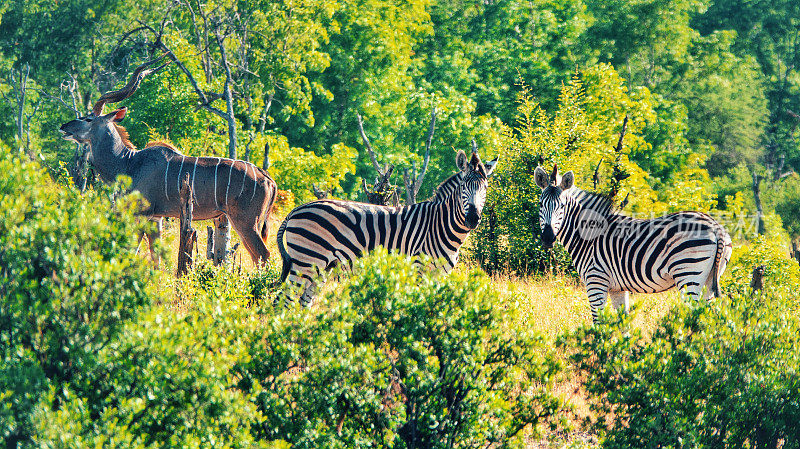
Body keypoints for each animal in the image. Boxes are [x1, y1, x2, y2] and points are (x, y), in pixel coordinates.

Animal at [278, 149, 496, 306]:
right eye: (464, 187)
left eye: (485, 188)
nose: (473, 219)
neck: (440, 224)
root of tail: (297, 209)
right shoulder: (418, 269)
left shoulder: (440, 274)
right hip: (306, 261)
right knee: (284, 301)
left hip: (322, 267)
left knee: (301, 304)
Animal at [536, 164, 732, 322]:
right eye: (540, 204)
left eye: (562, 206)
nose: (547, 238)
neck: (589, 236)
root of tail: (715, 226)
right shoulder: (617, 288)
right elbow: (623, 323)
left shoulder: (596, 280)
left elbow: (598, 322)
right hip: (710, 278)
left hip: (688, 273)